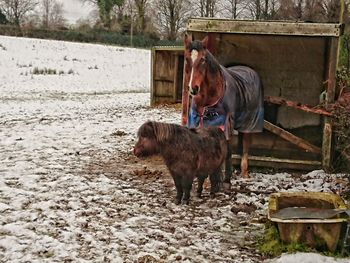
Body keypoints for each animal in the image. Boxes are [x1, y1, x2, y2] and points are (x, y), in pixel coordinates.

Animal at [183, 35, 262, 184]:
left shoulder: (223, 124)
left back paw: (244, 173)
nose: (193, 89)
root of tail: (249, 70)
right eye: (186, 58)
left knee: (246, 142)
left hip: (250, 121)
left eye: (203, 59)